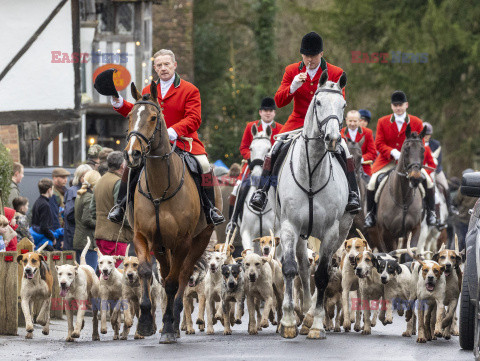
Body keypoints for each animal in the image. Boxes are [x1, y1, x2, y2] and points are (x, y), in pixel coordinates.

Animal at [124, 80, 221, 342]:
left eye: (153, 117)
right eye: (130, 116)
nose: (132, 154)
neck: (160, 187)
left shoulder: (183, 242)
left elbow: (172, 282)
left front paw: (168, 325)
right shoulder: (142, 236)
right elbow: (146, 272)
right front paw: (145, 322)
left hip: (198, 240)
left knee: (182, 276)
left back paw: (174, 321)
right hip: (160, 246)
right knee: (166, 271)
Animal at [274, 69, 352, 338]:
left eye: (343, 104)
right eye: (317, 102)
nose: (333, 139)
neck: (311, 172)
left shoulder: (330, 231)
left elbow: (322, 276)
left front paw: (316, 322)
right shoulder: (289, 226)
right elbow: (290, 268)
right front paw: (288, 321)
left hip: (341, 232)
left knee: (319, 270)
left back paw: (309, 315)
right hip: (298, 233)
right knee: (302, 266)